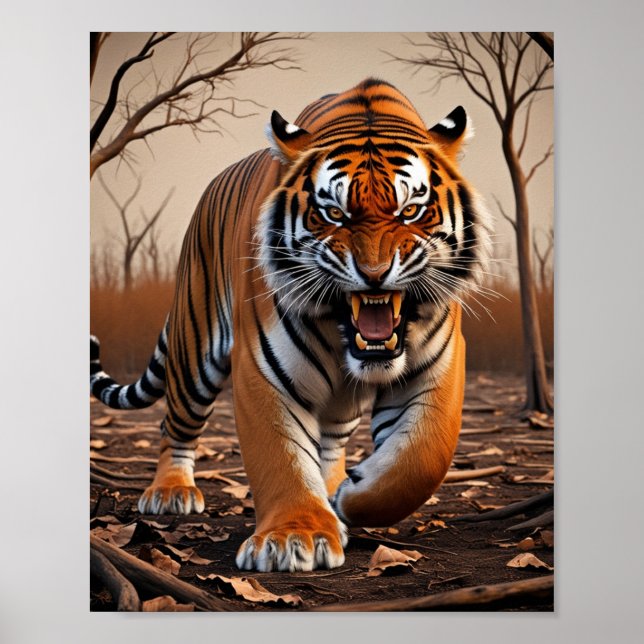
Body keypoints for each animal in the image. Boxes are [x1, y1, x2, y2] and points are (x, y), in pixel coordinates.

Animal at [90, 78, 492, 572]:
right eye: (334, 214)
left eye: (411, 211)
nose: (374, 273)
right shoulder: (262, 366)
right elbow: (280, 453)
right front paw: (293, 538)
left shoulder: (439, 364)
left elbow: (421, 460)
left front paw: (351, 495)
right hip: (193, 349)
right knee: (176, 425)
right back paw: (170, 493)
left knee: (332, 442)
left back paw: (333, 491)